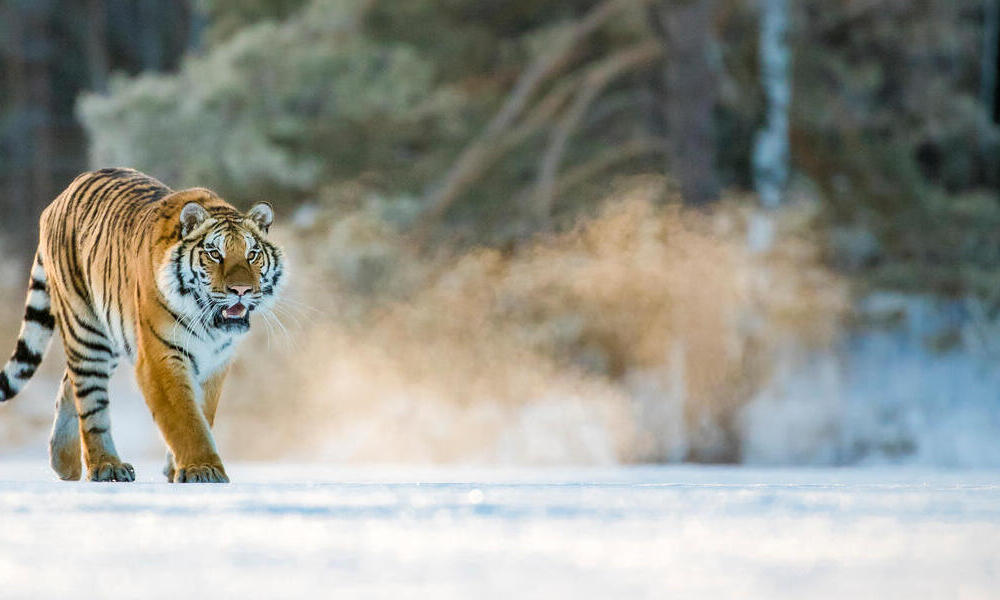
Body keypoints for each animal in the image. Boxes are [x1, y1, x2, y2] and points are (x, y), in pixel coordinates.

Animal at [0, 168, 286, 482]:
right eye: (214, 253)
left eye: (252, 254)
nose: (241, 290)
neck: (209, 325)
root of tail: (59, 197)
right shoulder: (161, 357)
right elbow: (187, 420)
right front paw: (203, 468)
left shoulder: (216, 362)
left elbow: (203, 414)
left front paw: (177, 468)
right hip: (86, 330)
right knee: (90, 402)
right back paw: (106, 465)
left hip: (110, 335)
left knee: (68, 383)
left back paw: (64, 462)